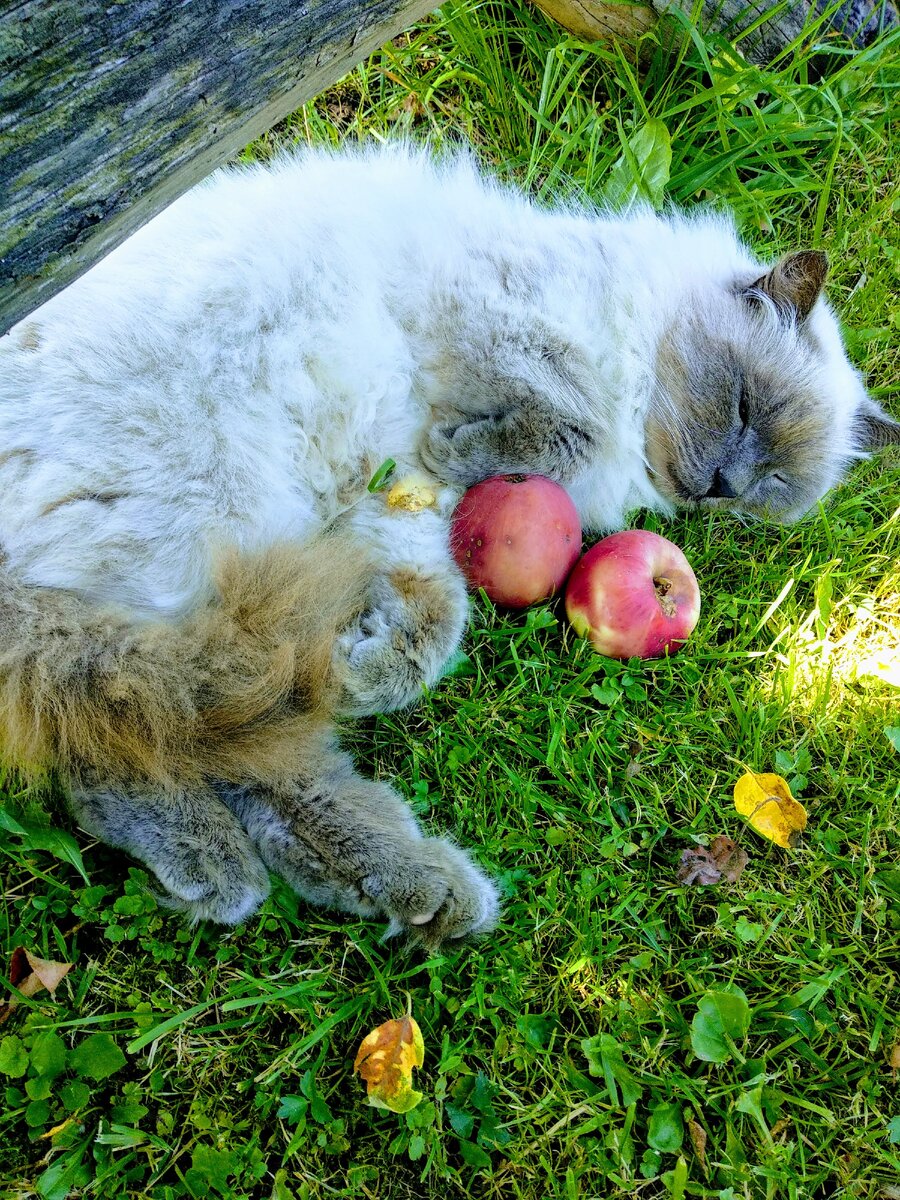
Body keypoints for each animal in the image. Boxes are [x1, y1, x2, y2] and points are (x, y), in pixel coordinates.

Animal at [0, 145, 897, 940]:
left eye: (771, 488)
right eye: (744, 407)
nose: (722, 487)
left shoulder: (403, 508)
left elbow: (437, 618)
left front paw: (367, 667)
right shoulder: (488, 337)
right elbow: (557, 424)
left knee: (220, 745)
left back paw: (405, 886)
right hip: (214, 526)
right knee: (135, 744)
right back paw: (227, 867)